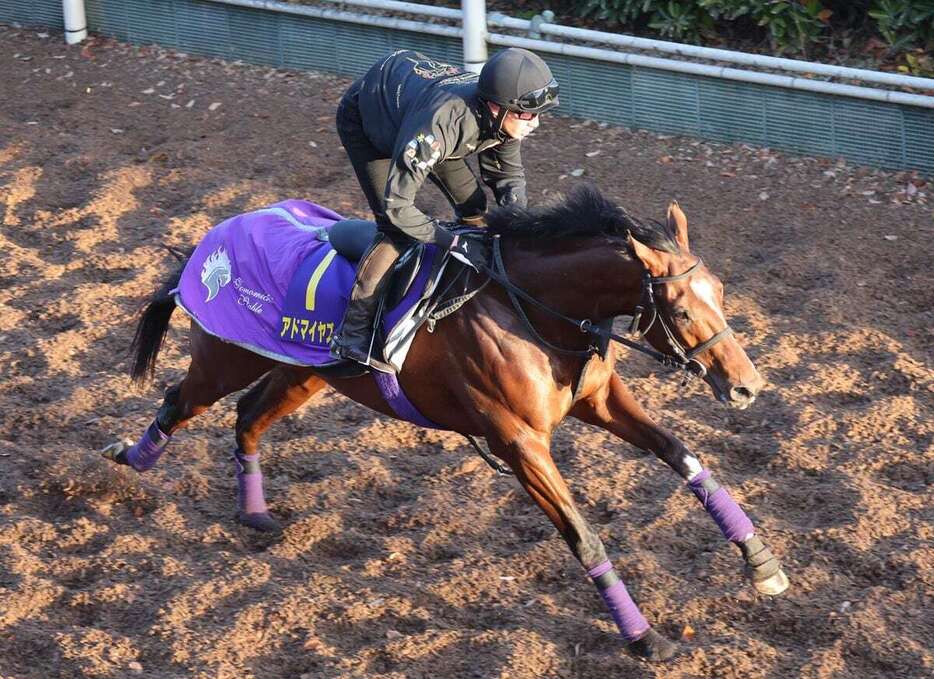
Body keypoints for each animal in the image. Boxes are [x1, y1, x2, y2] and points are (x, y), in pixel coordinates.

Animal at [102, 187, 788, 664]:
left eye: (721, 290)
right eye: (679, 308)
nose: (746, 385)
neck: (530, 308)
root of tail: (215, 236)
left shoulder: (598, 399)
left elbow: (682, 454)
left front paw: (761, 562)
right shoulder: (518, 442)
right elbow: (585, 537)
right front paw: (645, 637)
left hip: (304, 373)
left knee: (246, 417)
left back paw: (255, 513)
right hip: (226, 358)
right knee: (177, 401)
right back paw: (125, 463)